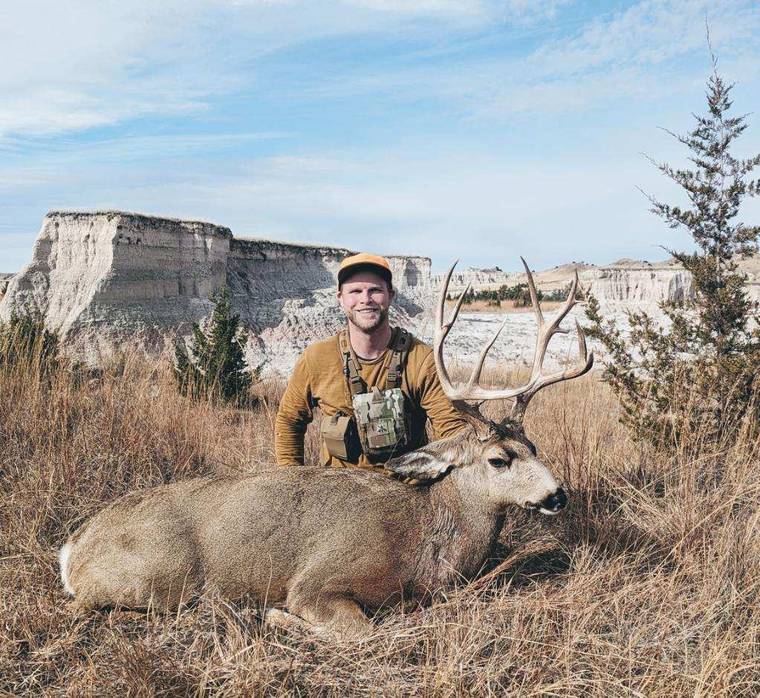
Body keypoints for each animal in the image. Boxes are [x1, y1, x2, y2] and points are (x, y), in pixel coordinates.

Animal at [59, 258, 593, 639]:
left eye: (534, 445)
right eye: (499, 459)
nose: (557, 495)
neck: (427, 540)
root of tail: (72, 548)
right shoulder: (318, 581)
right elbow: (360, 631)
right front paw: (271, 616)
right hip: (157, 575)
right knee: (89, 607)